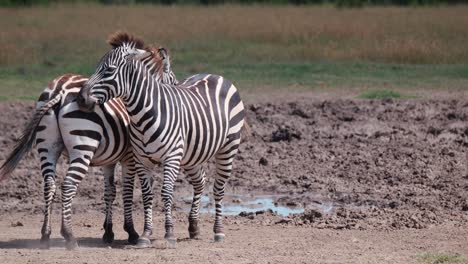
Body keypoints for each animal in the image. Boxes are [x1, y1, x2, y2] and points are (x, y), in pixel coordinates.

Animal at [0, 32, 178, 249]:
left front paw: (108, 232)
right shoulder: (130, 157)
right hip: (82, 146)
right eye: (173, 80)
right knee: (68, 185)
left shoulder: (109, 159)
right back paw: (69, 236)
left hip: (47, 146)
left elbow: (110, 191)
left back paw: (45, 235)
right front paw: (131, 232)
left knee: (49, 184)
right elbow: (127, 191)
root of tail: (59, 90)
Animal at [79, 37, 249, 245]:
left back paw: (218, 231)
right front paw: (145, 234)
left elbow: (166, 192)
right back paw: (194, 227)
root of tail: (216, 76)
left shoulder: (171, 157)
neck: (142, 114)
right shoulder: (142, 160)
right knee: (200, 181)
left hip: (228, 148)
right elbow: (146, 195)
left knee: (218, 188)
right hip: (192, 155)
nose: (80, 98)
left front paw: (169, 233)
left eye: (109, 70)